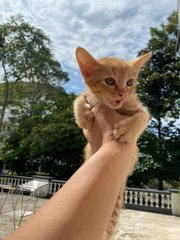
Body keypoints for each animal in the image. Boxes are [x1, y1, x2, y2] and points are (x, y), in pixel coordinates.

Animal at [74, 47, 151, 240]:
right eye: (110, 81)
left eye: (130, 82)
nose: (123, 93)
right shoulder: (87, 95)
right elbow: (79, 98)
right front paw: (83, 115)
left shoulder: (139, 108)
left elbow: (143, 116)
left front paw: (127, 129)